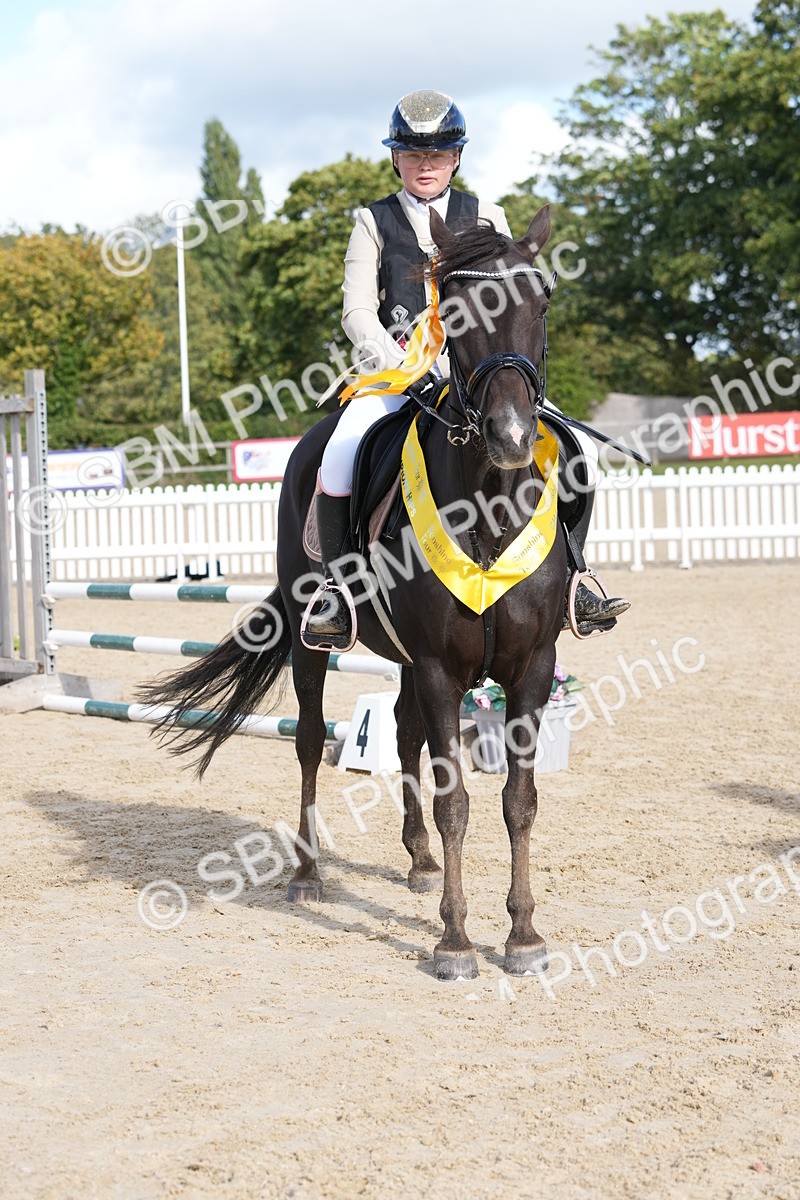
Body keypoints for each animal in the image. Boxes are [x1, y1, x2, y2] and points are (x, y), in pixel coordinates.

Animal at [140, 205, 567, 981]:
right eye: (455, 308)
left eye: (541, 301)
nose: (513, 436)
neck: (488, 508)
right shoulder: (439, 667)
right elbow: (456, 799)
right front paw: (455, 942)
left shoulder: (531, 667)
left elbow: (518, 799)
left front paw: (522, 934)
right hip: (316, 645)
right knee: (311, 740)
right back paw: (308, 873)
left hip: (405, 659)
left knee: (399, 733)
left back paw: (420, 861)